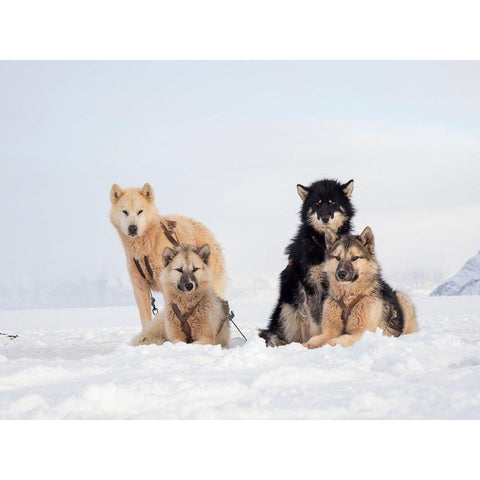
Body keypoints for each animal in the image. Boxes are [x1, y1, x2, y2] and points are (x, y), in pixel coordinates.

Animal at [258, 178, 356, 346]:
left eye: (332, 203)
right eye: (317, 204)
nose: (325, 218)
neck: (323, 243)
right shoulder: (312, 285)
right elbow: (317, 321)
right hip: (286, 307)